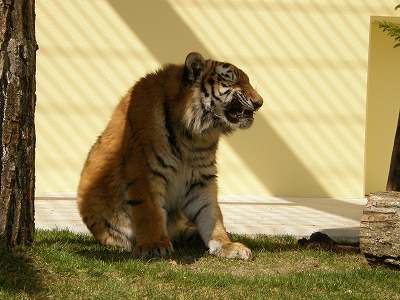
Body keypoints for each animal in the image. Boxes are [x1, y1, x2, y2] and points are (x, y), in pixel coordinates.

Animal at [76, 52, 264, 258]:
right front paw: (154, 245)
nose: (260, 102)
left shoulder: (201, 179)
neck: (194, 135)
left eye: (248, 81)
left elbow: (212, 214)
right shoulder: (145, 173)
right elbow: (149, 211)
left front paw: (227, 245)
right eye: (232, 79)